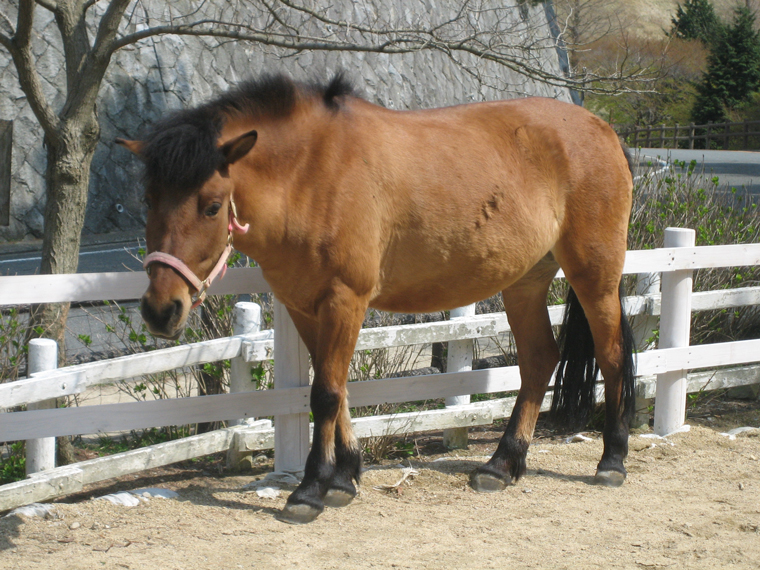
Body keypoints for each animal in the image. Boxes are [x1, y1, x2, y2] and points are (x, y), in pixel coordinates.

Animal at [117, 73, 636, 525]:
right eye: (149, 200)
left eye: (211, 205)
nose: (160, 310)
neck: (311, 172)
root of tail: (605, 131)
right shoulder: (305, 306)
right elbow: (336, 388)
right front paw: (344, 477)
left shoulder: (345, 300)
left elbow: (325, 393)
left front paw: (310, 489)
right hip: (525, 282)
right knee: (538, 359)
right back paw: (501, 464)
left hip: (594, 276)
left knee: (611, 356)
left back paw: (612, 460)